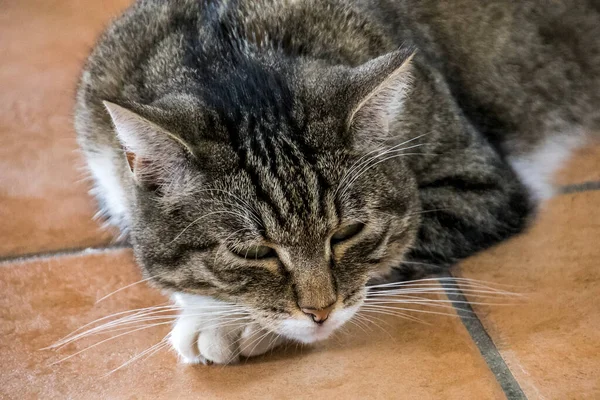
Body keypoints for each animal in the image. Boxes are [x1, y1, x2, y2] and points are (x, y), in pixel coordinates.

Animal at [74, 0, 600, 364]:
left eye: (347, 232)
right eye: (254, 252)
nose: (320, 313)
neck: (228, 50)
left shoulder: (482, 187)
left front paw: (226, 324)